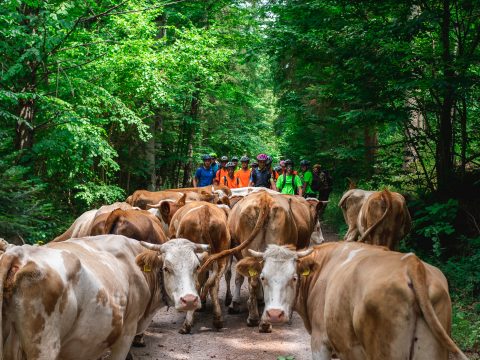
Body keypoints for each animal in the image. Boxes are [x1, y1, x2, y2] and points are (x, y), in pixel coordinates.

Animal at [238, 242, 466, 360]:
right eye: (263, 277)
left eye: (294, 278)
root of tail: (411, 263)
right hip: (431, 350)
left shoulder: (321, 342)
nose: (275, 314)